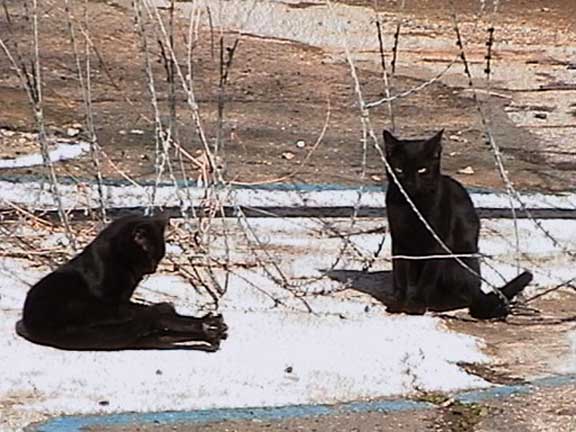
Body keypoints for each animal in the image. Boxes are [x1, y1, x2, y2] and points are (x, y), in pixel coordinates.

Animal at [15, 214, 227, 350]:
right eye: (151, 256)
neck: (122, 263)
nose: (153, 269)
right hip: (99, 311)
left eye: (160, 257)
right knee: (157, 319)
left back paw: (211, 333)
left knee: (157, 333)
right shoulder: (113, 300)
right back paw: (209, 327)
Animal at [384, 130, 532, 318]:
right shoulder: (398, 239)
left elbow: (428, 276)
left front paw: (416, 305)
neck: (411, 205)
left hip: (456, 259)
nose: (409, 184)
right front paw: (398, 302)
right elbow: (399, 272)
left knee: (465, 295)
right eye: (399, 170)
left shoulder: (438, 242)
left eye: (422, 170)